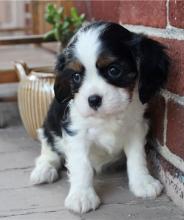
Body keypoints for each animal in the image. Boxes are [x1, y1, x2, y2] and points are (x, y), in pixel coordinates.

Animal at [30, 21, 170, 213]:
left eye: (114, 70)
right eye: (76, 76)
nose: (93, 100)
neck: (107, 116)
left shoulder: (135, 127)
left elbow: (136, 157)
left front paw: (142, 182)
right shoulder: (76, 133)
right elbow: (82, 166)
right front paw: (82, 196)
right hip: (49, 124)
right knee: (48, 150)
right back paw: (44, 170)